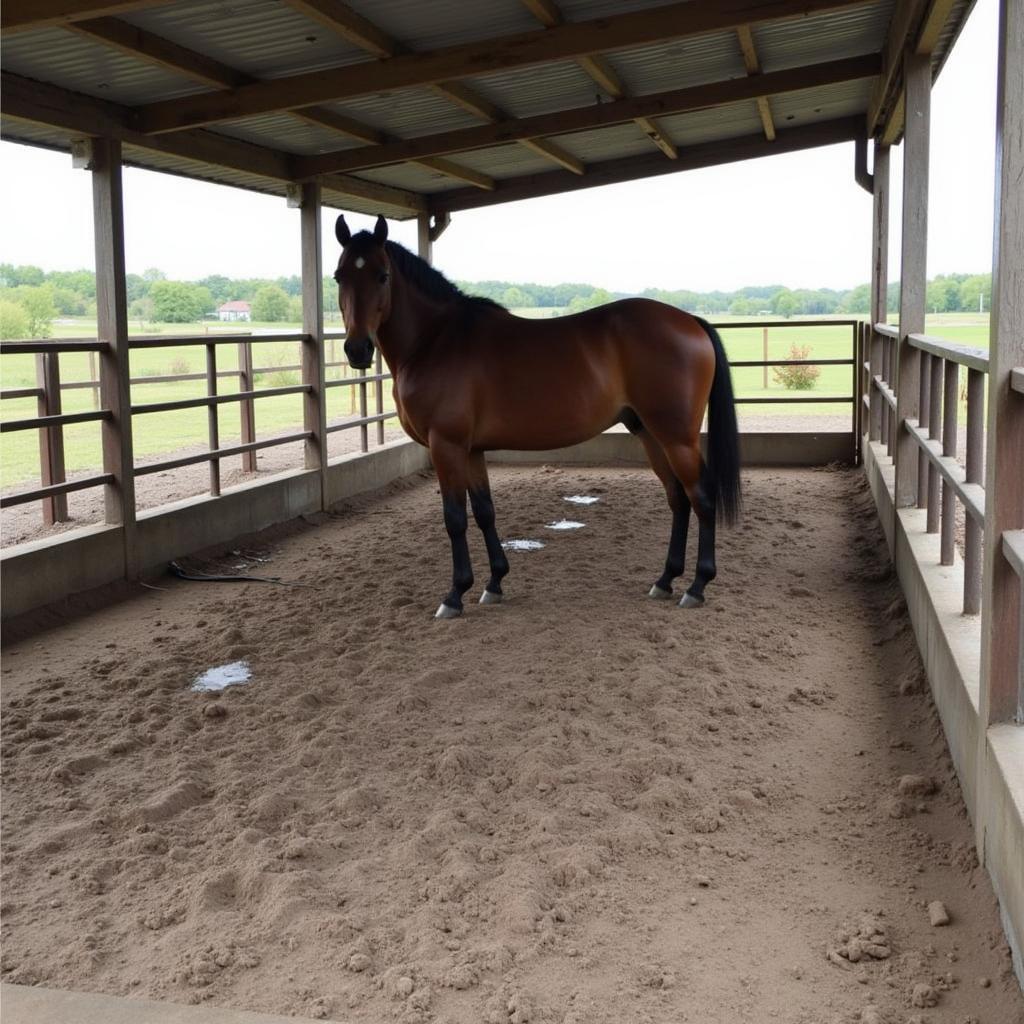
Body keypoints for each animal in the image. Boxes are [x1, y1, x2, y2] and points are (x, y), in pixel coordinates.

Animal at [335, 215, 745, 614]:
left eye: (382, 275)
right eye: (340, 276)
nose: (357, 349)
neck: (435, 341)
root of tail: (690, 321)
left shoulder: (446, 445)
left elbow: (455, 518)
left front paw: (455, 594)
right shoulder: (472, 450)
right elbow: (484, 511)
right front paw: (494, 583)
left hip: (677, 438)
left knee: (701, 498)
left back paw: (696, 586)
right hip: (650, 433)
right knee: (678, 499)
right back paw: (665, 580)